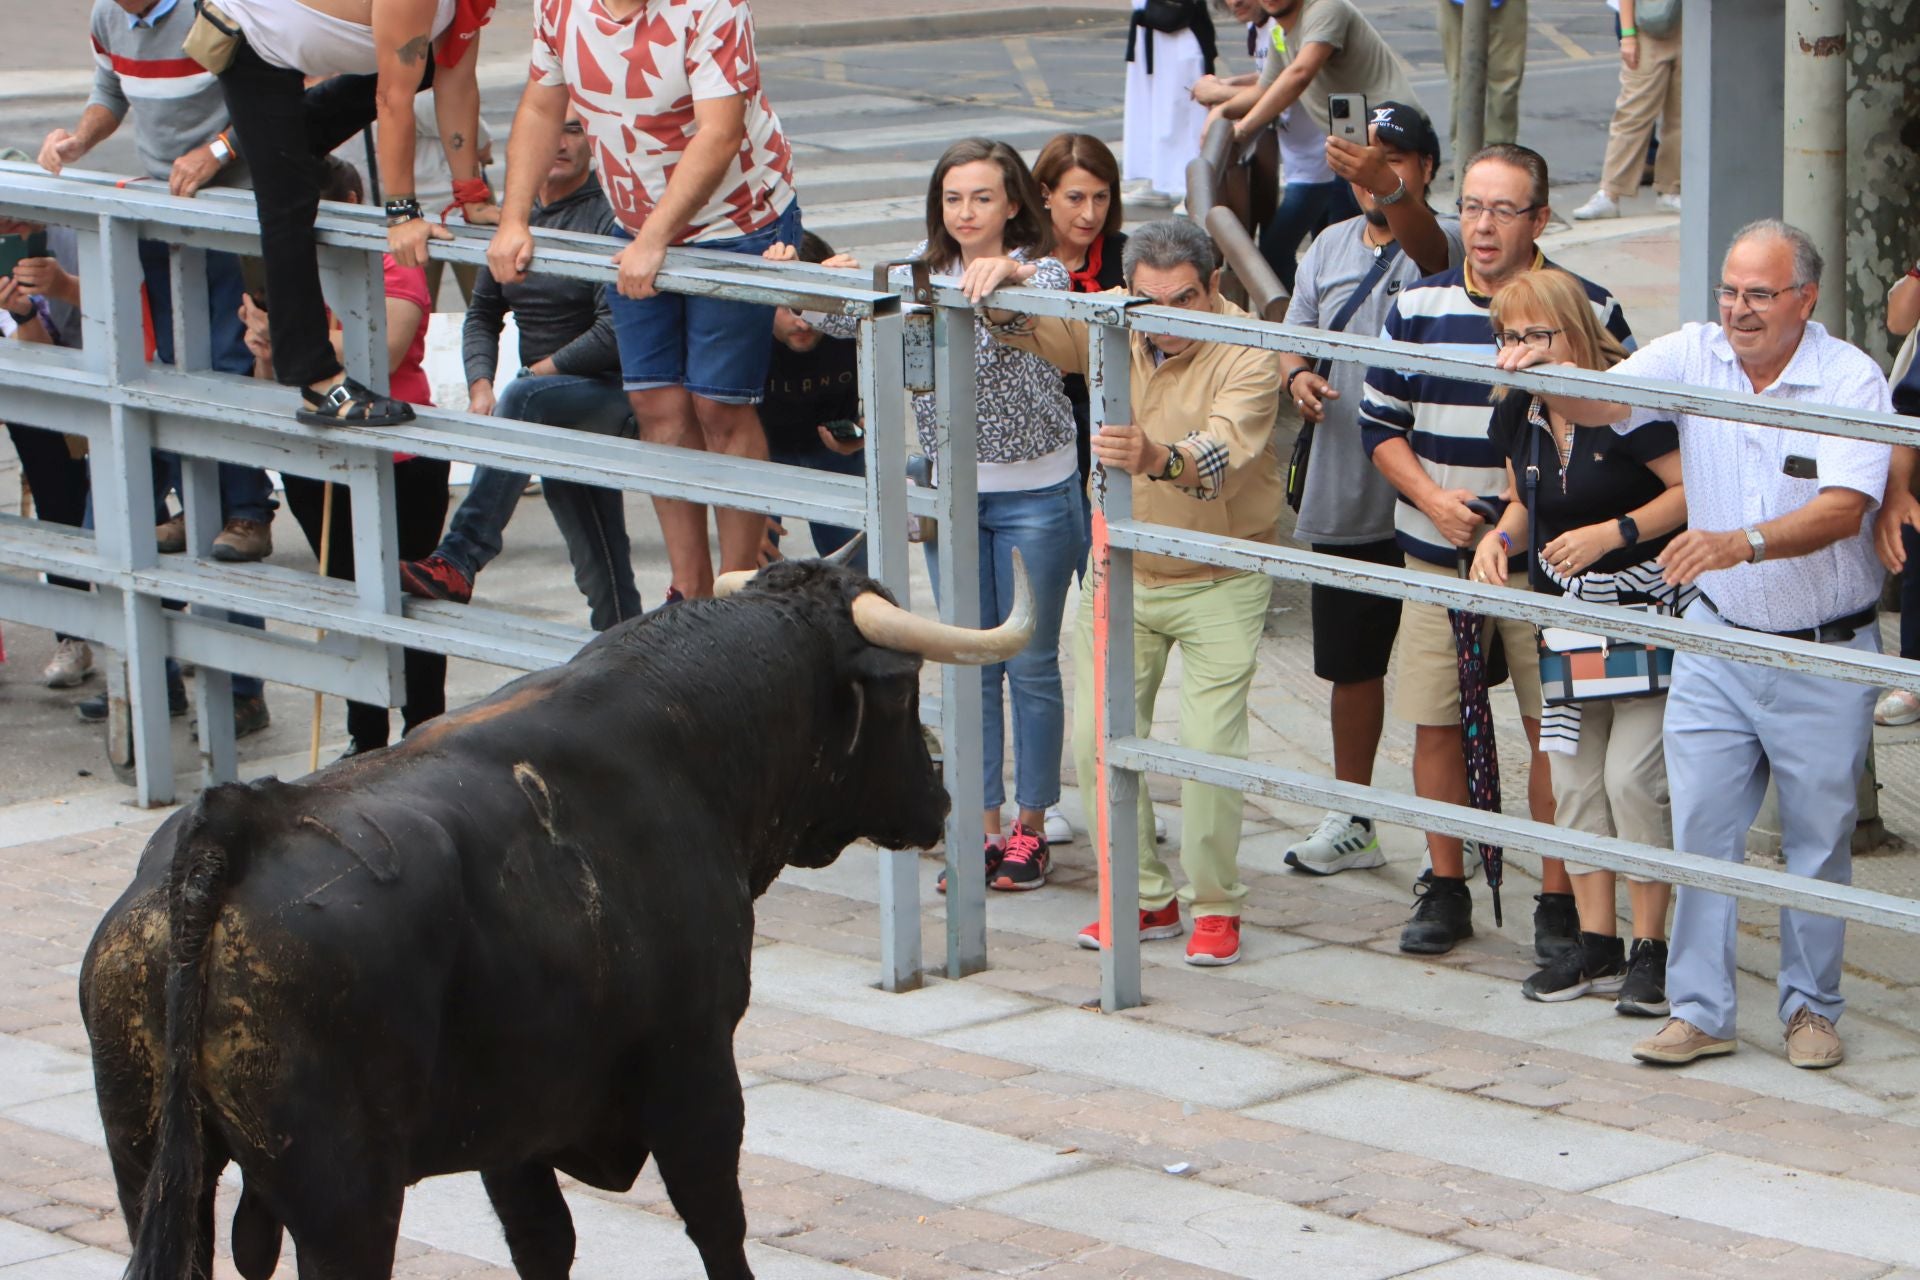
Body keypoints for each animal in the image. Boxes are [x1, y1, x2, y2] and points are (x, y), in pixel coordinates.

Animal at [82, 560, 1029, 1280]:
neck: (686, 745)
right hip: (343, 1196)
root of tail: (235, 825)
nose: (941, 793)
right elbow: (717, 1225)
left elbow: (544, 1243)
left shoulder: (511, 1121)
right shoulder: (695, 1068)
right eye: (905, 696)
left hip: (145, 1161)